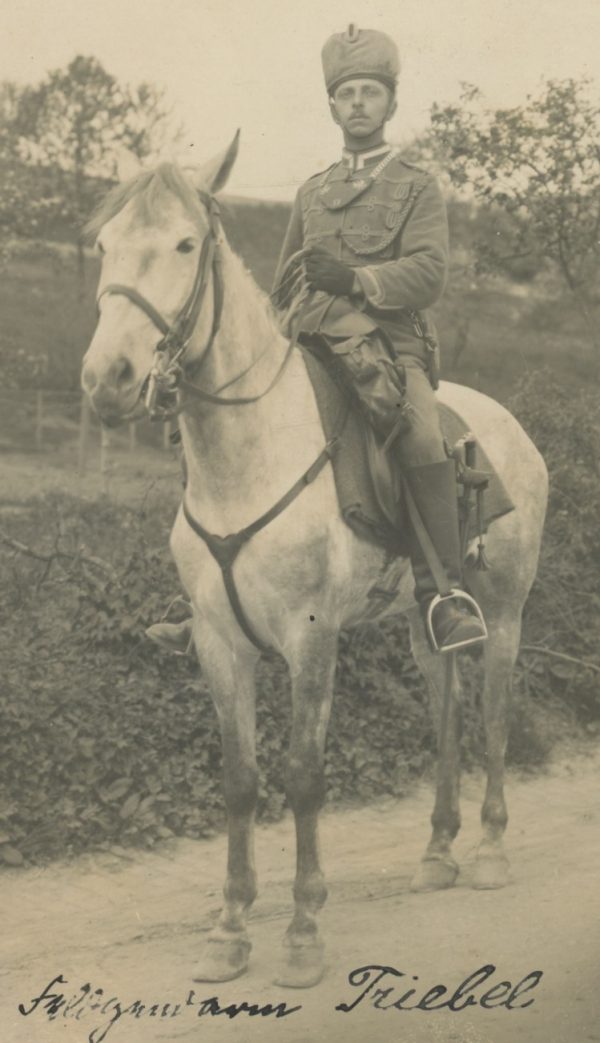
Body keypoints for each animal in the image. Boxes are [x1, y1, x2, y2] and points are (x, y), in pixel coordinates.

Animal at [80, 134, 550, 988]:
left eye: (186, 244)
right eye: (105, 244)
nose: (110, 380)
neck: (247, 456)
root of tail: (509, 428)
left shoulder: (310, 639)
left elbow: (302, 776)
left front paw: (302, 931)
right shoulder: (219, 643)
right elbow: (239, 780)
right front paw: (229, 930)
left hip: (503, 612)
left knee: (494, 712)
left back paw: (490, 850)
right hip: (426, 624)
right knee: (445, 713)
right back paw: (437, 850)